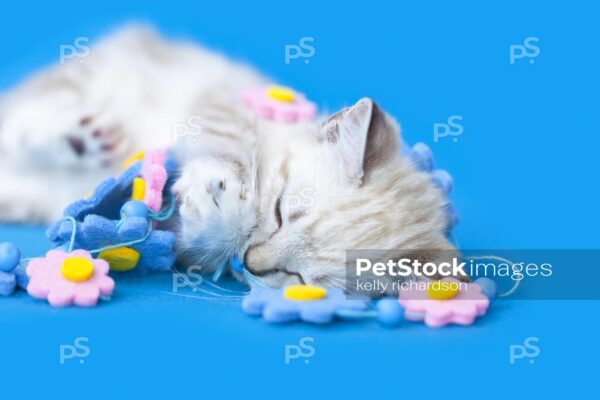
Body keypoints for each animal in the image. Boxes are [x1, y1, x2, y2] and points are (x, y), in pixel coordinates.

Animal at [0, 26, 454, 292]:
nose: (252, 264)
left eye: (303, 278)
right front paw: (218, 198)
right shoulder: (224, 106)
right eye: (280, 212)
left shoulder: (182, 249)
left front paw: (214, 218)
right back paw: (83, 137)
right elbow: (228, 151)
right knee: (19, 121)